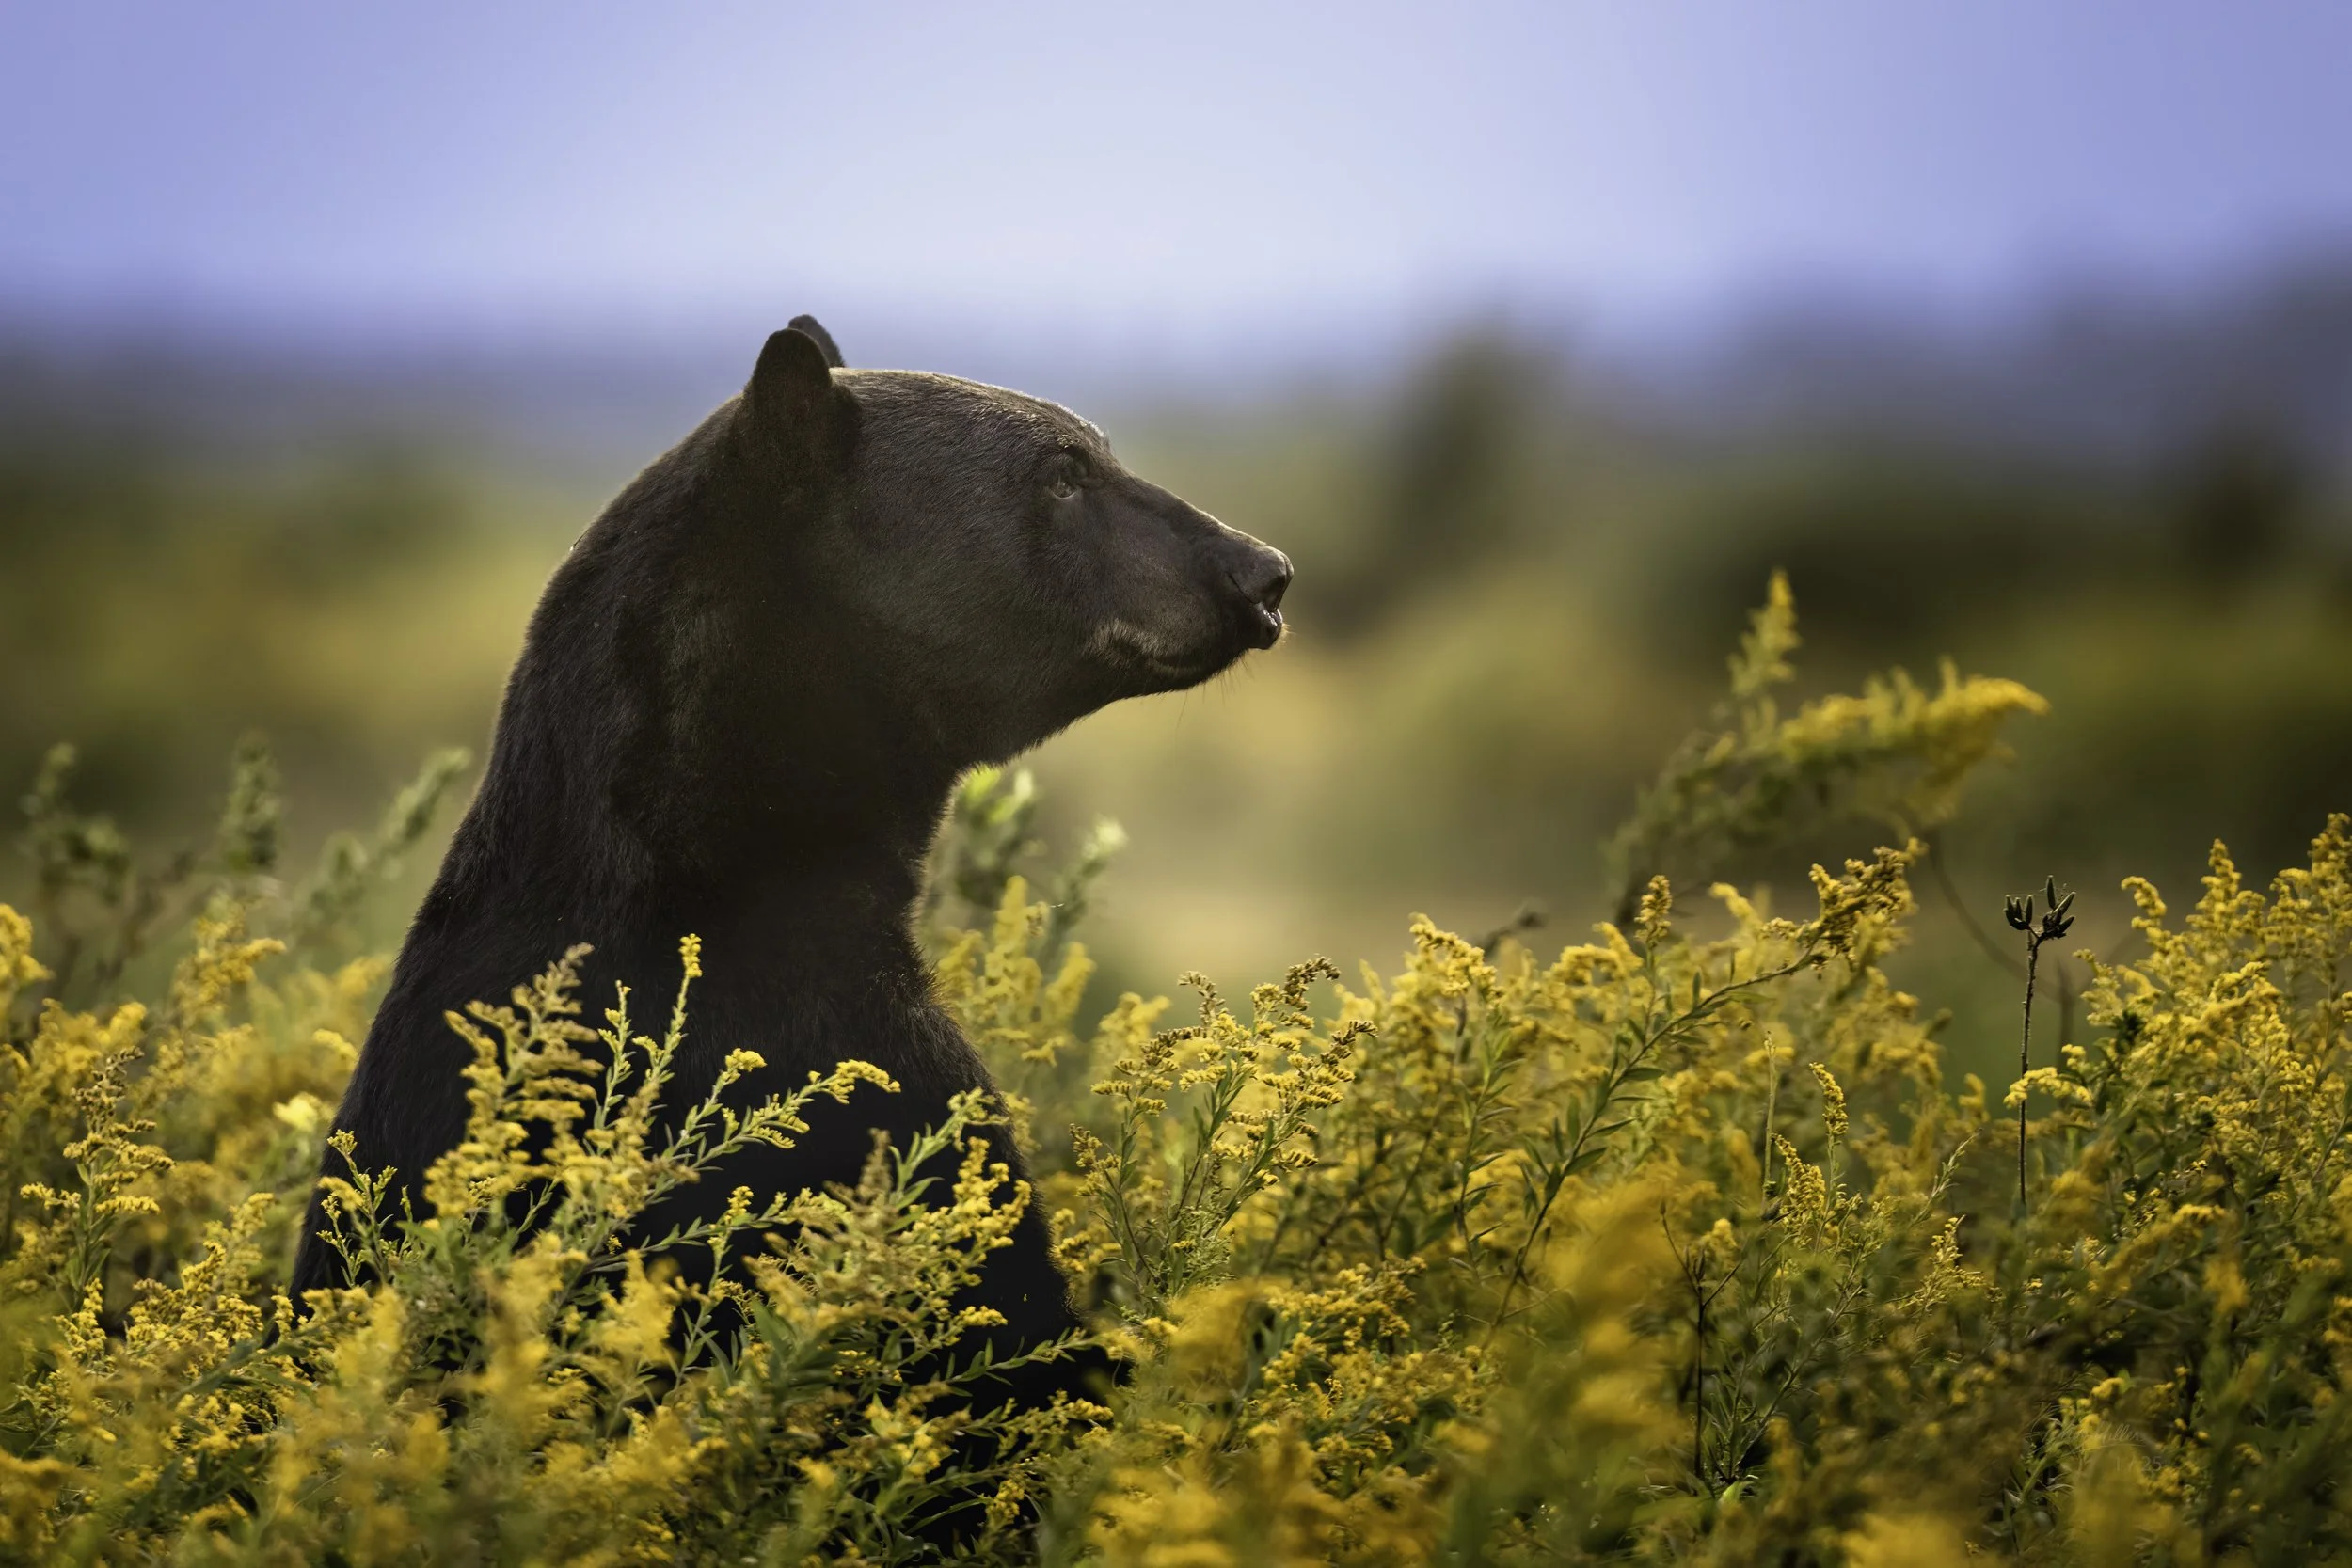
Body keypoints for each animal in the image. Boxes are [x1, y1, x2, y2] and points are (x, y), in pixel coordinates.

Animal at [289, 317, 1291, 1399]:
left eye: (1096, 450)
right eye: (1064, 472)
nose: (1264, 572)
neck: (717, 863)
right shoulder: (834, 1063)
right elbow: (1000, 1305)